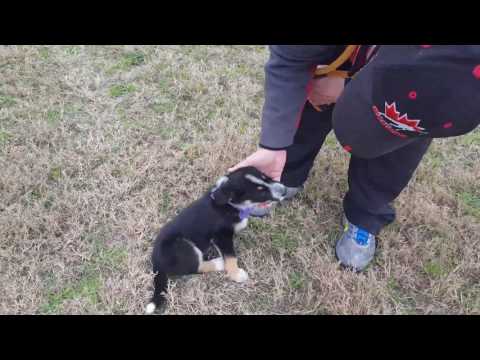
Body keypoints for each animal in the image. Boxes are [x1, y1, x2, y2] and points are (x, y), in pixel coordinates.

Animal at [144, 167, 286, 314]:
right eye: (260, 191)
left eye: (266, 177)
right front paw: (236, 274)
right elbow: (230, 257)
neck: (230, 205)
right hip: (184, 246)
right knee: (196, 267)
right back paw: (219, 263)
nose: (285, 190)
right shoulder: (221, 236)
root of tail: (156, 263)